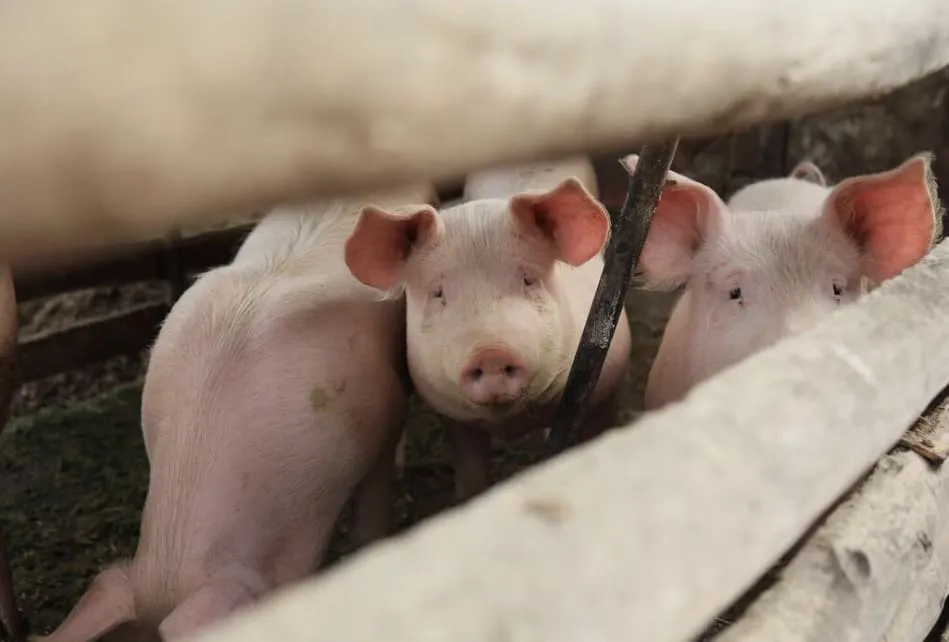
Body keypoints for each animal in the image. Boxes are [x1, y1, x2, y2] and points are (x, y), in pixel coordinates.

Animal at [345, 157, 632, 501]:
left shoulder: (606, 391)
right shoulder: (454, 417)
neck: (510, 422)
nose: (490, 352)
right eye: (438, 293)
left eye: (528, 280)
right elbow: (471, 478)